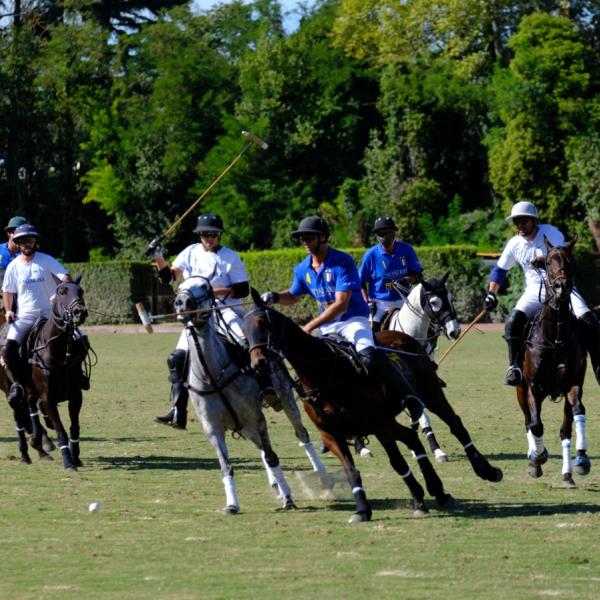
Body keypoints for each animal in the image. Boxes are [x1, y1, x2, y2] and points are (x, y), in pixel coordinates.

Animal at [172, 278, 296, 516]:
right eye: (181, 285)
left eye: (204, 286)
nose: (182, 302)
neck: (212, 375)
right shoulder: (212, 428)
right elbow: (226, 466)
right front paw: (231, 504)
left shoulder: (256, 418)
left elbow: (272, 456)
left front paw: (288, 499)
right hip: (244, 428)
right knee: (262, 449)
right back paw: (275, 484)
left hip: (286, 399)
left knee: (301, 435)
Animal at [516, 237, 592, 486]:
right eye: (547, 262)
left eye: (571, 261)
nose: (561, 286)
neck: (556, 337)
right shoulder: (533, 387)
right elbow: (536, 425)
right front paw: (538, 457)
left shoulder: (573, 383)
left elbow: (577, 412)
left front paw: (582, 459)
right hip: (520, 389)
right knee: (528, 422)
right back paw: (534, 458)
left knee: (565, 429)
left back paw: (568, 473)